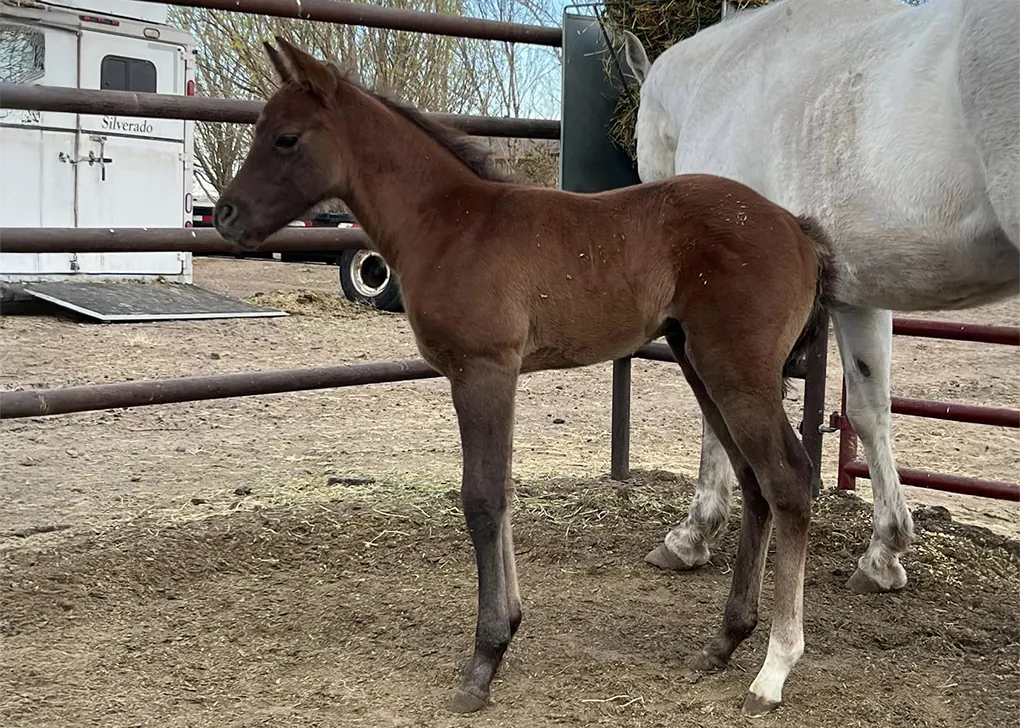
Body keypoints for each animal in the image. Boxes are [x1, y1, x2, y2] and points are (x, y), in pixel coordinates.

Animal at [214, 37, 838, 716]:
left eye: (286, 138)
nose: (225, 215)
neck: (450, 223)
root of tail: (797, 228)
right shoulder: (496, 375)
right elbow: (504, 493)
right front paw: (508, 628)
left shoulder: (483, 370)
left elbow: (482, 498)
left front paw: (483, 663)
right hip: (702, 365)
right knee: (754, 485)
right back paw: (723, 641)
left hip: (736, 372)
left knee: (788, 480)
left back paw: (774, 669)